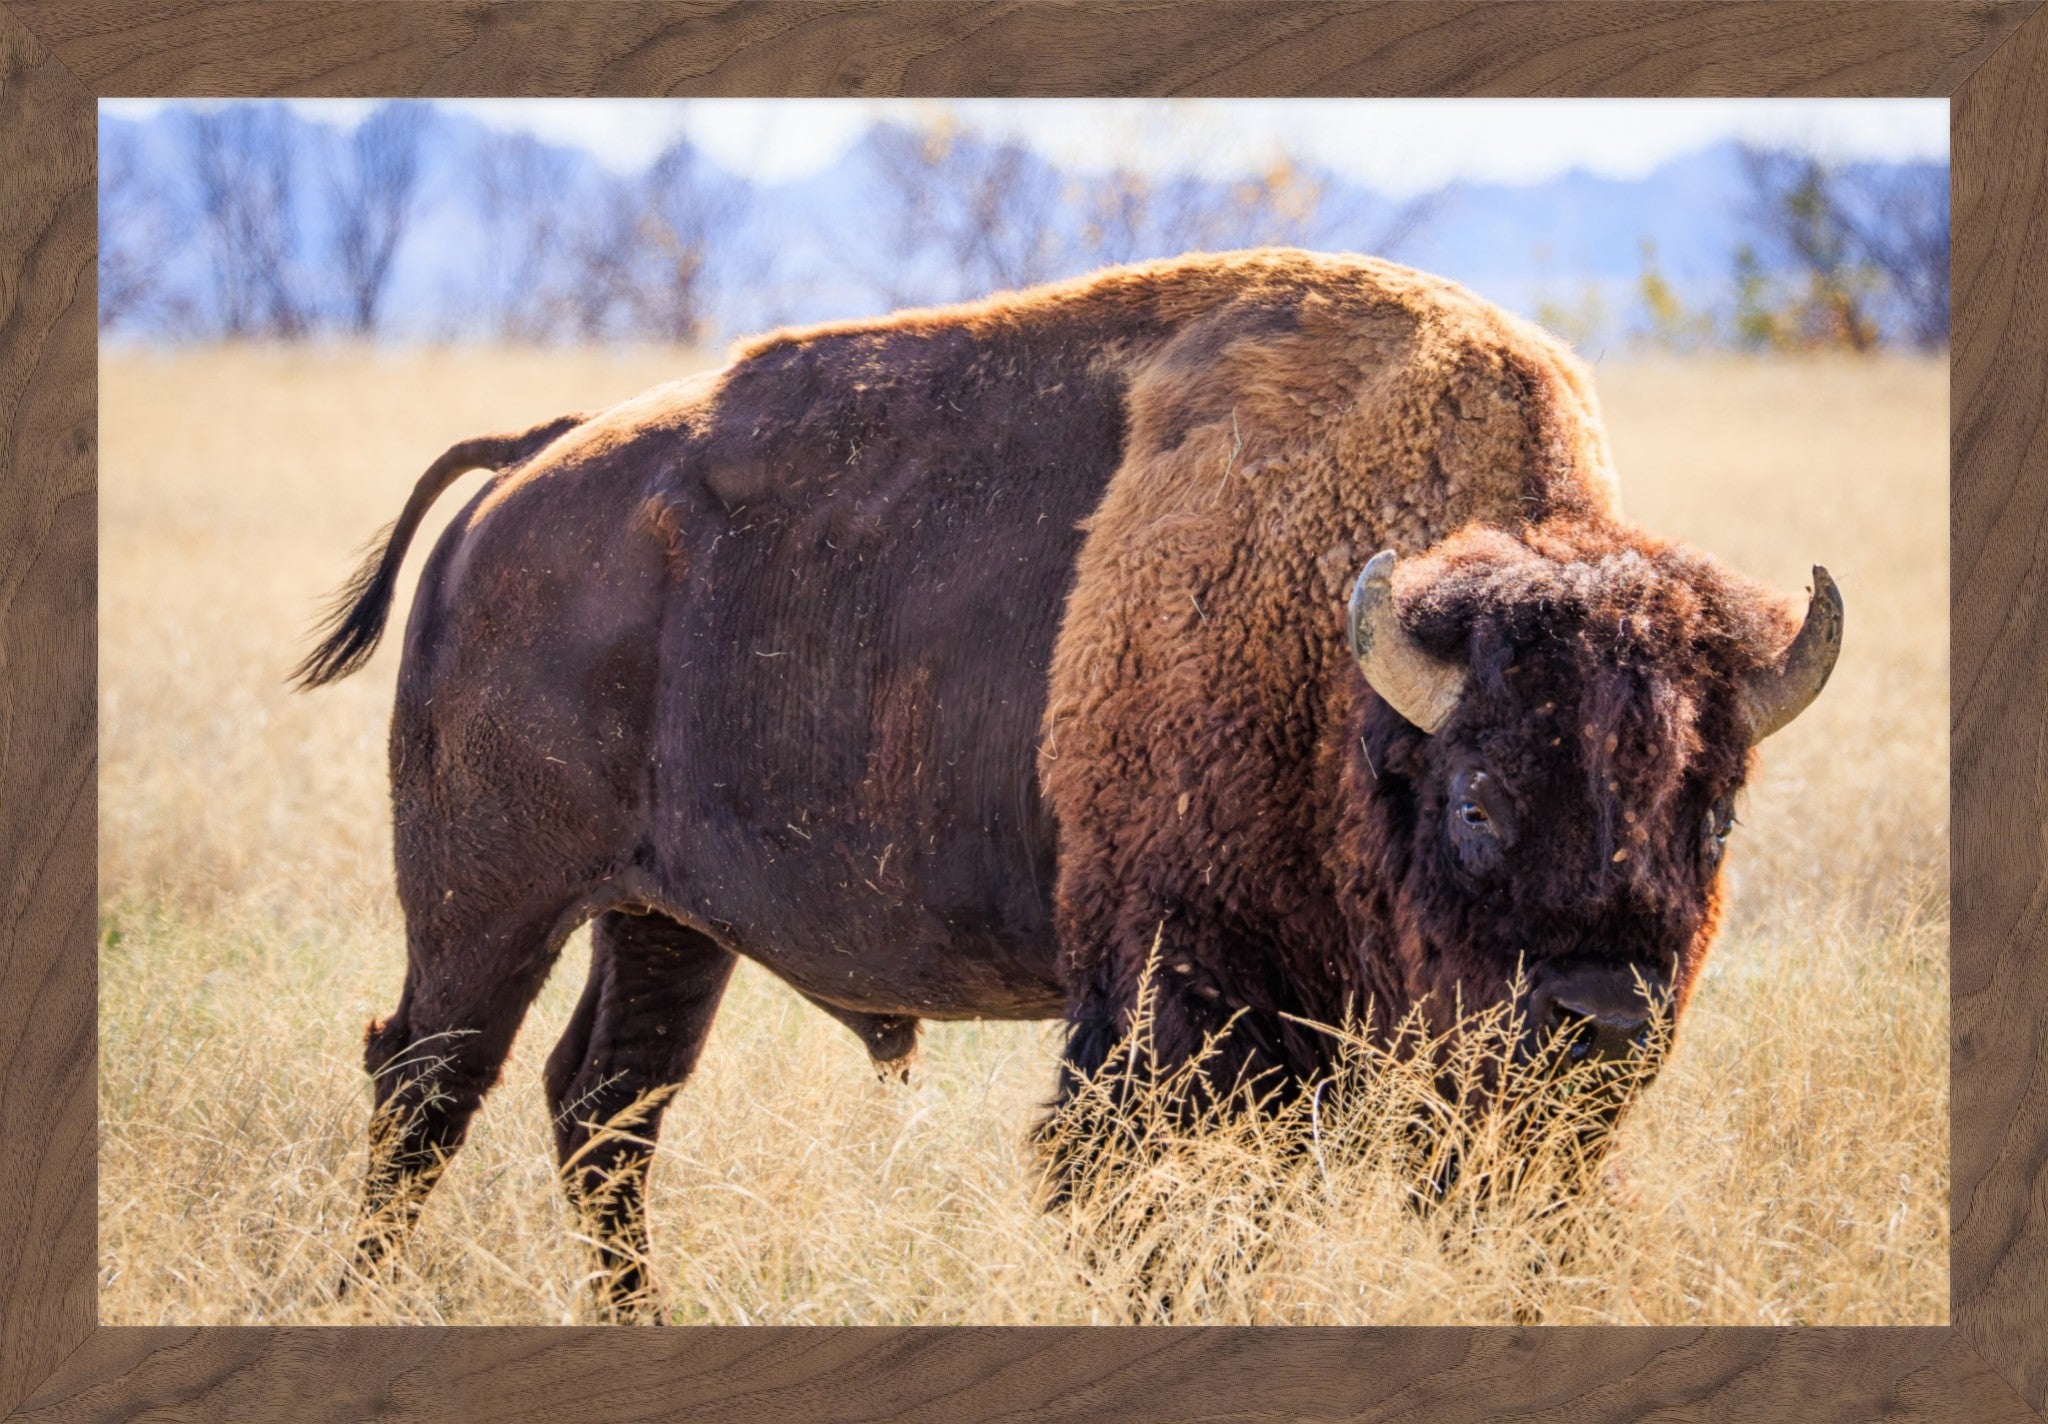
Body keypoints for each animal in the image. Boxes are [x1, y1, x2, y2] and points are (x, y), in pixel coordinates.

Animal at [298, 249, 1839, 1314]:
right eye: (1475, 802)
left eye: (1712, 812)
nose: (1603, 1018)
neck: (1340, 667)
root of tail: (527, 468)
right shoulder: (1172, 1014)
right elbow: (1149, 1206)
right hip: (487, 902)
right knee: (427, 1085)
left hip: (663, 920)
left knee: (604, 1106)